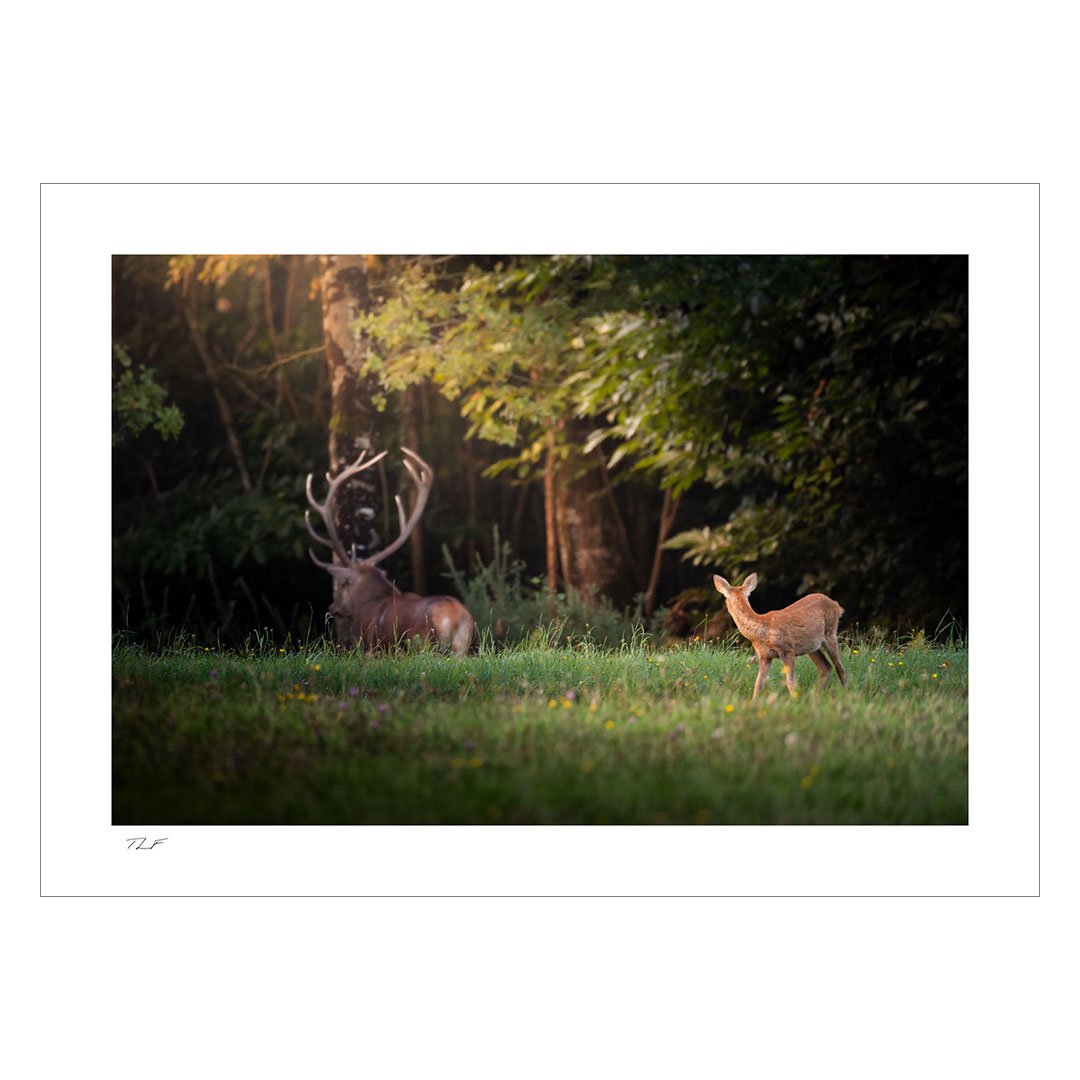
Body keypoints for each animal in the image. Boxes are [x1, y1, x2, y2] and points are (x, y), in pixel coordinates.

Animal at [306, 447, 476, 654]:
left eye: (344, 584)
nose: (333, 607)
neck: (367, 609)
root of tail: (455, 620)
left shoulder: (371, 648)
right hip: (462, 647)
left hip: (420, 643)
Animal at [712, 572, 846, 699]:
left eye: (725, 599)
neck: (762, 631)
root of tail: (836, 604)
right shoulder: (764, 656)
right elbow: (758, 684)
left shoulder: (787, 649)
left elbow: (790, 682)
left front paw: (795, 701)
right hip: (812, 647)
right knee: (826, 667)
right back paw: (816, 697)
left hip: (830, 633)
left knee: (840, 667)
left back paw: (845, 693)